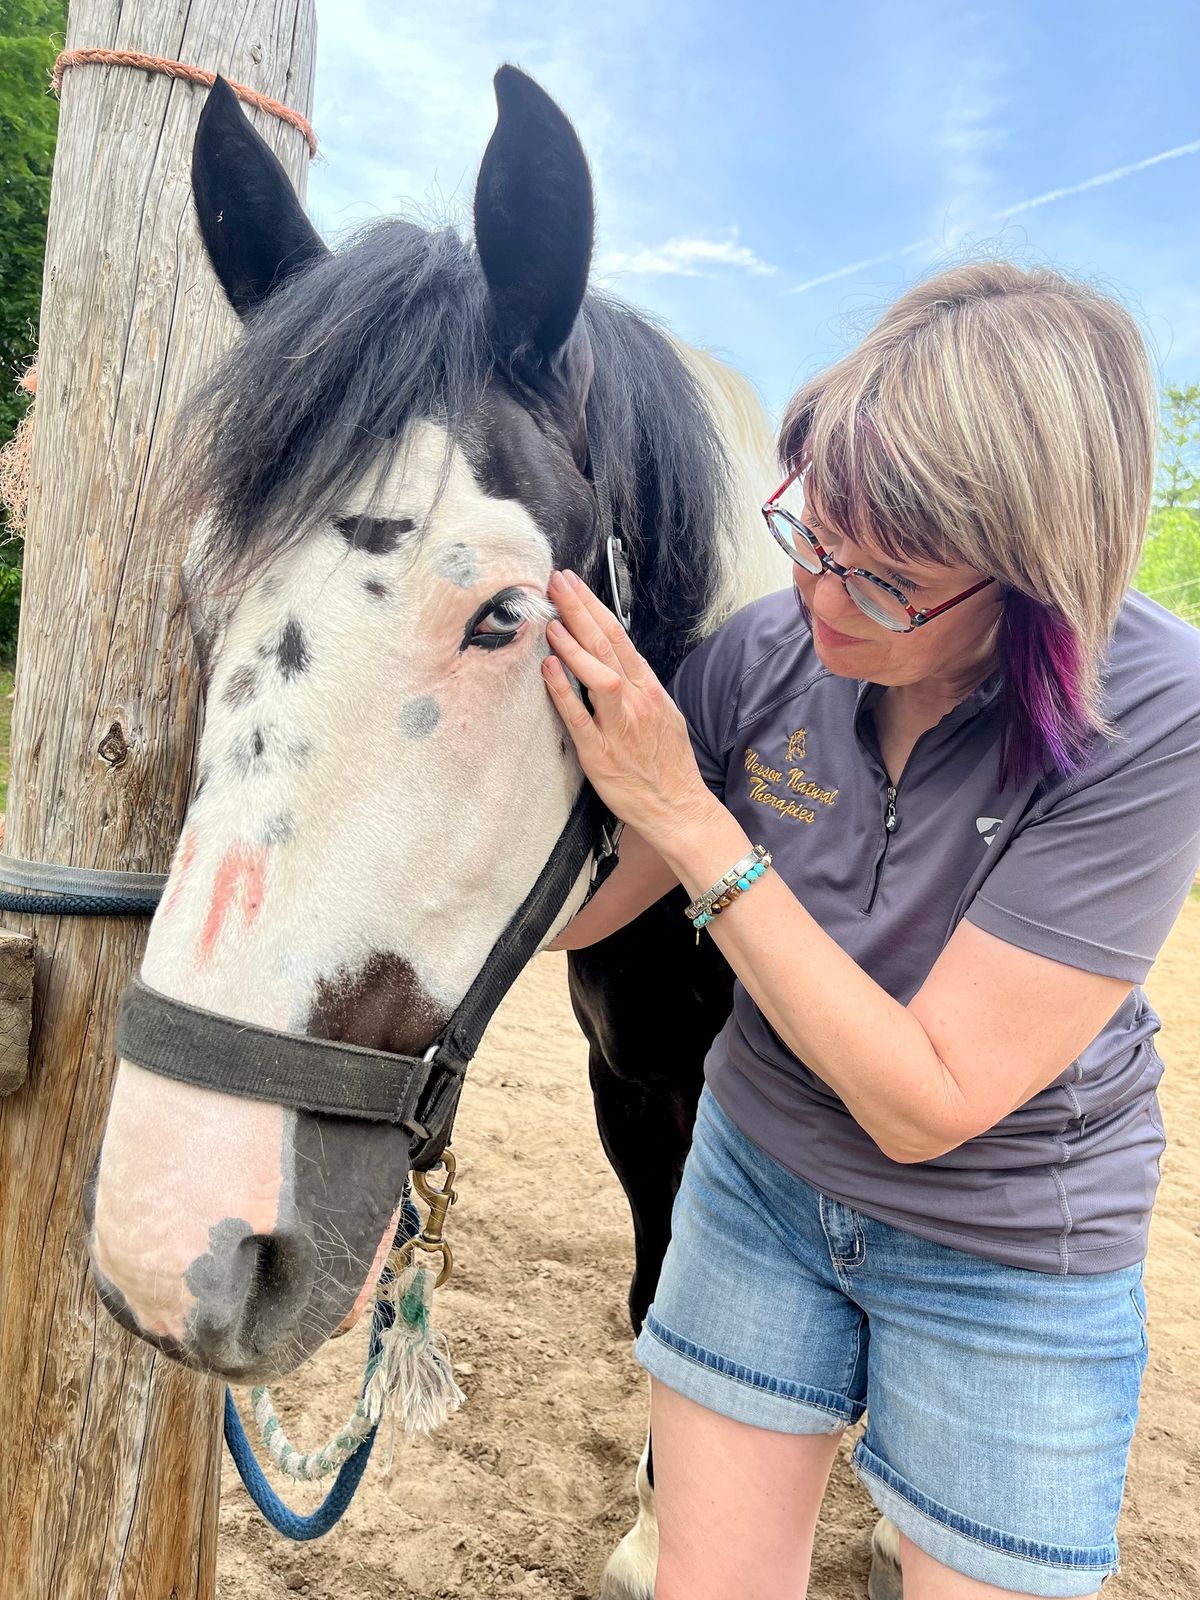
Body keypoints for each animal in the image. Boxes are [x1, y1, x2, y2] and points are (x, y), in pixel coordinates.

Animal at [89, 65, 902, 1600]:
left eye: (506, 617)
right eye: (204, 582)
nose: (177, 1245)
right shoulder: (635, 1085)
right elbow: (664, 1301)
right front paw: (661, 1524)